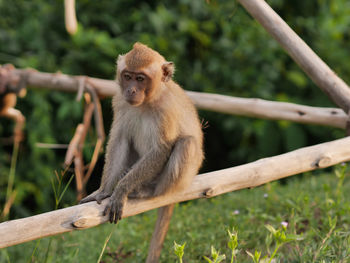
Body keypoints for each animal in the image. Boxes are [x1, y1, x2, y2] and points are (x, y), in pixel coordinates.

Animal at [80, 42, 204, 228]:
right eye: (127, 76)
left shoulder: (166, 109)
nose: (131, 90)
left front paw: (121, 189)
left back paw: (147, 191)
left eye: (140, 79)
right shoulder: (120, 101)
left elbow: (161, 149)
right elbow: (119, 140)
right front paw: (104, 191)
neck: (147, 102)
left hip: (181, 179)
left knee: (187, 144)